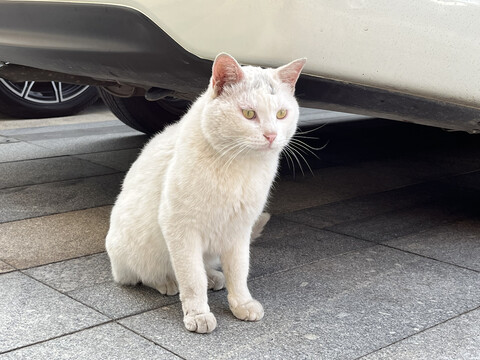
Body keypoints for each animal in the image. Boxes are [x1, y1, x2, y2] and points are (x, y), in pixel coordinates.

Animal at [106, 52, 306, 332]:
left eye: (281, 114)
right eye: (248, 114)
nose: (271, 135)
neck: (239, 167)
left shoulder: (239, 230)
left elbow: (239, 272)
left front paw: (242, 304)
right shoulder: (180, 228)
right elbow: (191, 279)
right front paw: (198, 314)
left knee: (205, 267)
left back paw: (213, 277)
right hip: (135, 252)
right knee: (149, 275)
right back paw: (167, 282)